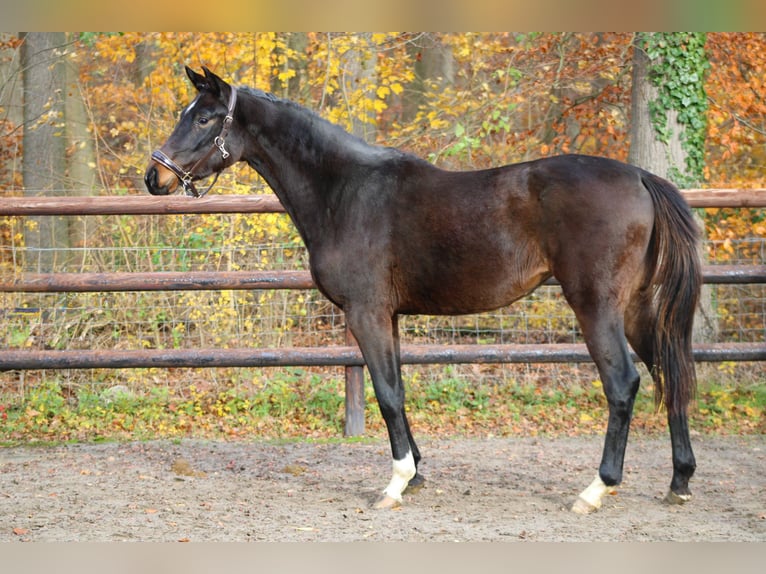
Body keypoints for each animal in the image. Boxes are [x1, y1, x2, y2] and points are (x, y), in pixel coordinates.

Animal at [144, 66, 704, 512]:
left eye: (204, 118)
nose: (154, 176)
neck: (344, 191)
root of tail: (639, 177)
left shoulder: (366, 313)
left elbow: (387, 394)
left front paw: (395, 484)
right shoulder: (388, 316)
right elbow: (399, 389)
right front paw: (414, 473)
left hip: (596, 306)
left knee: (624, 383)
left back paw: (595, 490)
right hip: (634, 308)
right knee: (669, 369)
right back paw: (679, 482)